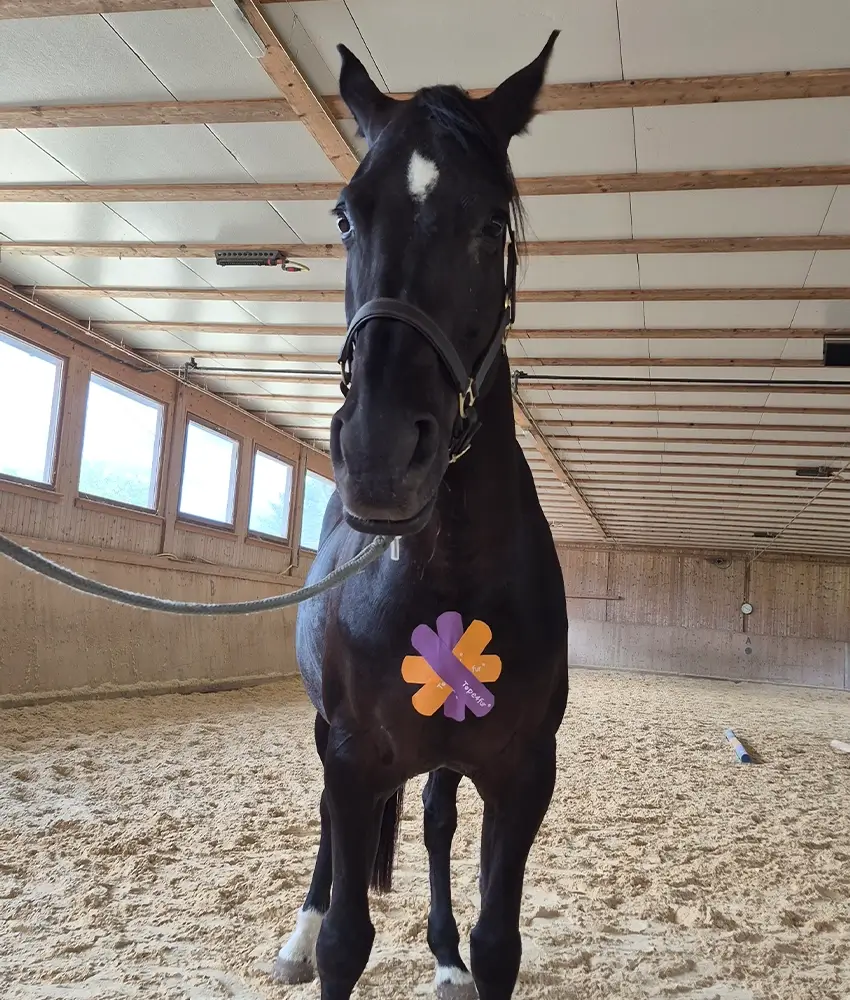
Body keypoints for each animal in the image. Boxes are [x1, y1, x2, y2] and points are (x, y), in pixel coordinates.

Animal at [273, 32, 569, 1000]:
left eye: (491, 224)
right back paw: (298, 930)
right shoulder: (352, 756)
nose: (378, 454)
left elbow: (498, 940)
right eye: (345, 217)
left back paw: (441, 958)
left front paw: (461, 954)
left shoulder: (523, 775)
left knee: (437, 821)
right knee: (331, 836)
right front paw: (317, 936)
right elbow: (346, 942)